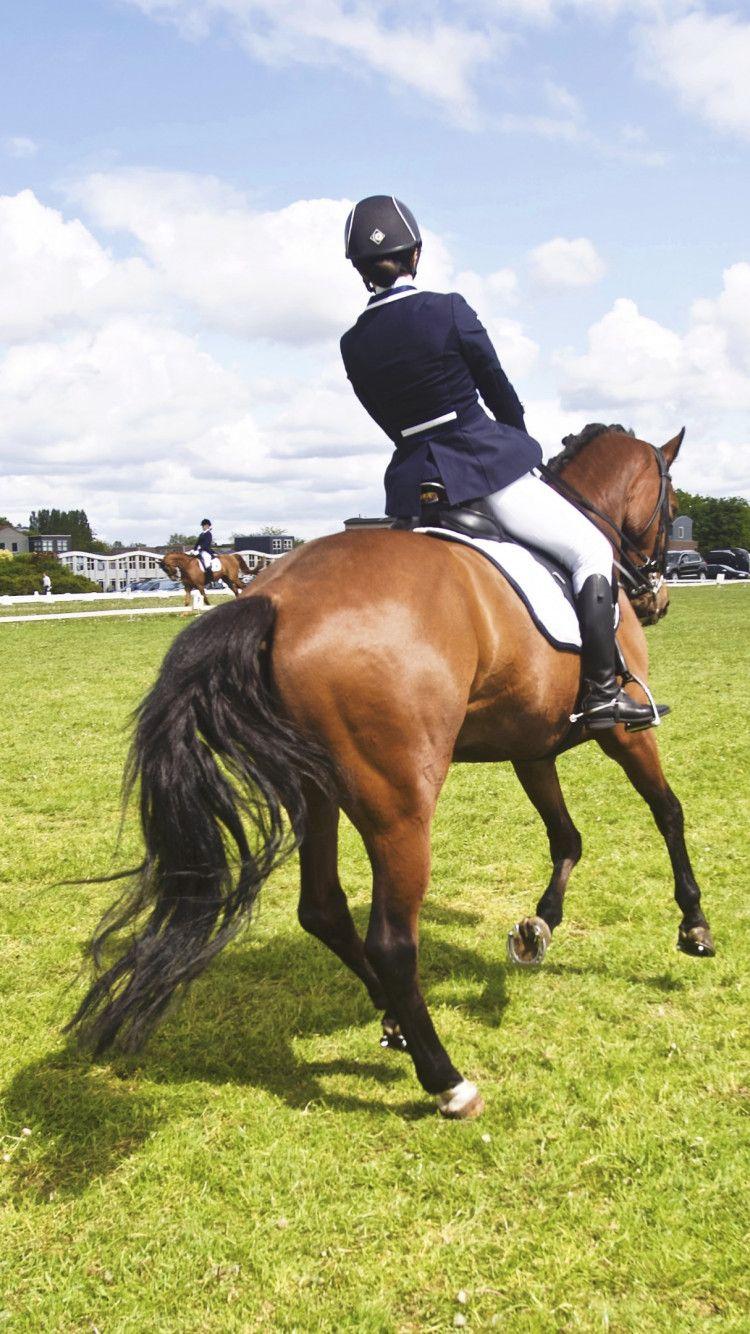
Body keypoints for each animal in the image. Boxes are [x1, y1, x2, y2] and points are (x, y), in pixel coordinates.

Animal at [68, 425, 715, 1120]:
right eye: (673, 504)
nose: (658, 599)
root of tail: (275, 597)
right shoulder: (622, 731)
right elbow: (668, 811)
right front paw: (694, 926)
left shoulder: (531, 745)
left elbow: (566, 837)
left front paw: (537, 927)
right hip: (400, 805)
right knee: (392, 940)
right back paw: (446, 1080)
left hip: (315, 792)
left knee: (323, 909)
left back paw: (396, 1022)